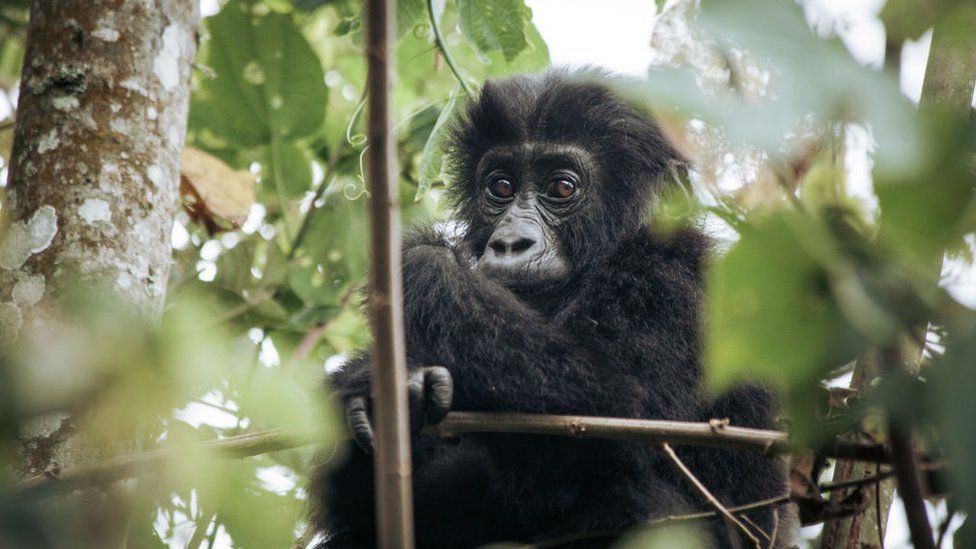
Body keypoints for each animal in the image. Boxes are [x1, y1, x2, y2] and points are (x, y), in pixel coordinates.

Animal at [308, 73, 796, 548]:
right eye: (501, 187)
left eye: (562, 187)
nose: (510, 242)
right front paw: (376, 388)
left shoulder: (674, 280)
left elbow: (612, 406)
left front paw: (416, 263)